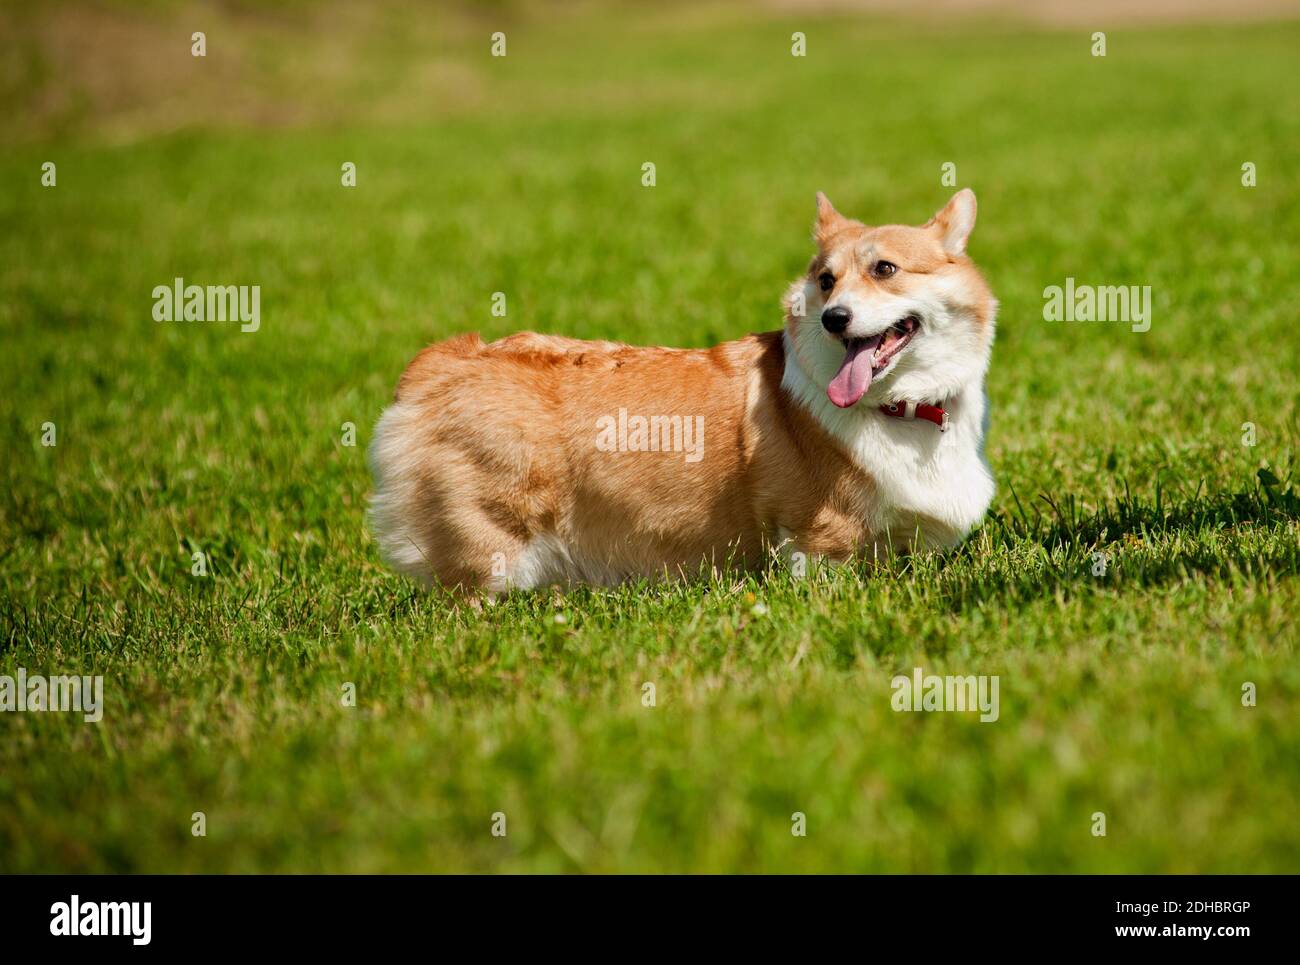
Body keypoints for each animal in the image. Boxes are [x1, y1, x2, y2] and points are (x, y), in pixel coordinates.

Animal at [371, 188, 998, 590]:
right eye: (826, 280)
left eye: (885, 269)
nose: (833, 319)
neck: (902, 407)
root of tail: (440, 363)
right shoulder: (818, 541)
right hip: (494, 547)